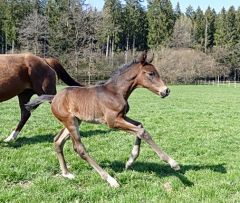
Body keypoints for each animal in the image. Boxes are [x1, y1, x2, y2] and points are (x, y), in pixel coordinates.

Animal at [26, 52, 180, 187]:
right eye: (151, 73)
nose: (166, 91)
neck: (116, 92)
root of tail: (53, 98)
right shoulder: (112, 122)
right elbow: (142, 131)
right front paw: (173, 163)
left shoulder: (122, 116)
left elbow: (140, 126)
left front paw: (130, 161)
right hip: (70, 122)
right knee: (79, 149)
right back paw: (110, 180)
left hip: (75, 121)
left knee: (58, 141)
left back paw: (66, 173)